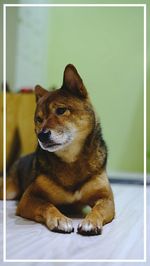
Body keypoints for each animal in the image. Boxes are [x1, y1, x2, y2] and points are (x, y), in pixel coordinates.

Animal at [0, 65, 115, 236]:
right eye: (39, 120)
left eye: (61, 110)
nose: (41, 135)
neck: (71, 161)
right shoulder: (29, 197)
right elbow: (47, 205)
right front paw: (60, 219)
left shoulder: (106, 198)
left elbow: (99, 209)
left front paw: (90, 221)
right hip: (10, 191)